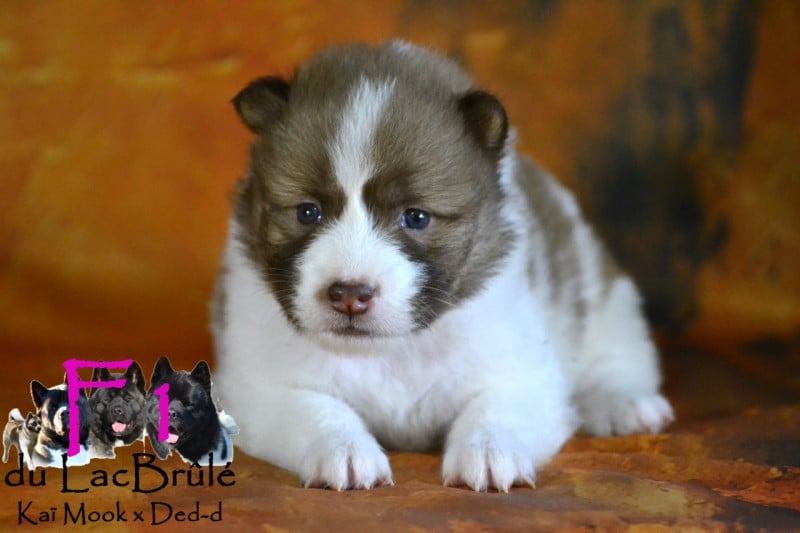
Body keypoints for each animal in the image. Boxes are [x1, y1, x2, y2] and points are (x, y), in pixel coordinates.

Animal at [211, 41, 674, 491]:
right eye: (308, 212)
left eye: (416, 217)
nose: (350, 296)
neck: (390, 350)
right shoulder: (259, 387)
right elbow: (315, 410)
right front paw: (343, 450)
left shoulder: (524, 372)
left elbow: (495, 408)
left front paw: (488, 451)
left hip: (607, 296)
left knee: (618, 353)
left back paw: (625, 403)